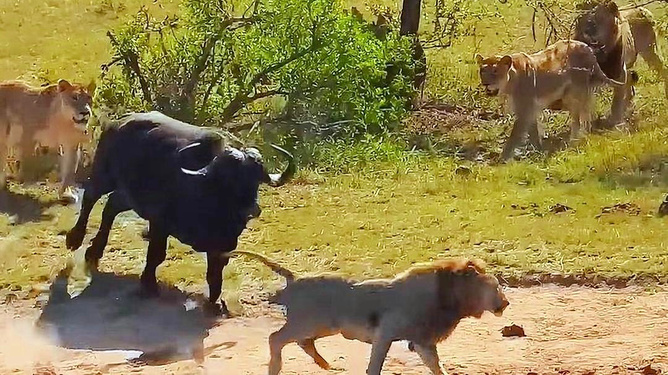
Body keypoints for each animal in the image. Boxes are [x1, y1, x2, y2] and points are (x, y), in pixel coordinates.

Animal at [66, 111, 294, 314]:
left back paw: (95, 250)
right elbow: (156, 254)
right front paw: (149, 284)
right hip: (104, 174)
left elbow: (215, 271)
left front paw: (215, 301)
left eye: (256, 178)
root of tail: (117, 122)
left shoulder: (222, 245)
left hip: (128, 194)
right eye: (229, 178)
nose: (251, 209)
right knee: (90, 198)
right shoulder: (159, 222)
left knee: (110, 207)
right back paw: (75, 239)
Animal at [227, 250, 508, 375]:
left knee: (302, 342)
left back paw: (327, 366)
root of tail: (295, 279)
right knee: (276, 338)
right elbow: (375, 366)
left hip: (322, 326)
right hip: (308, 323)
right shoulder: (385, 333)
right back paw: (275, 368)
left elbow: (436, 366)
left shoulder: (423, 341)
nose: (505, 304)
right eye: (495, 287)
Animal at [474, 39, 628, 162]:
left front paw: (503, 159)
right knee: (584, 115)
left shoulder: (525, 110)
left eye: (495, 72)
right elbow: (533, 131)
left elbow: (515, 135)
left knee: (581, 119)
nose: (485, 83)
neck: (510, 81)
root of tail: (587, 48)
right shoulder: (531, 109)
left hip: (577, 93)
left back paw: (575, 141)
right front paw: (537, 150)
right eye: (482, 71)